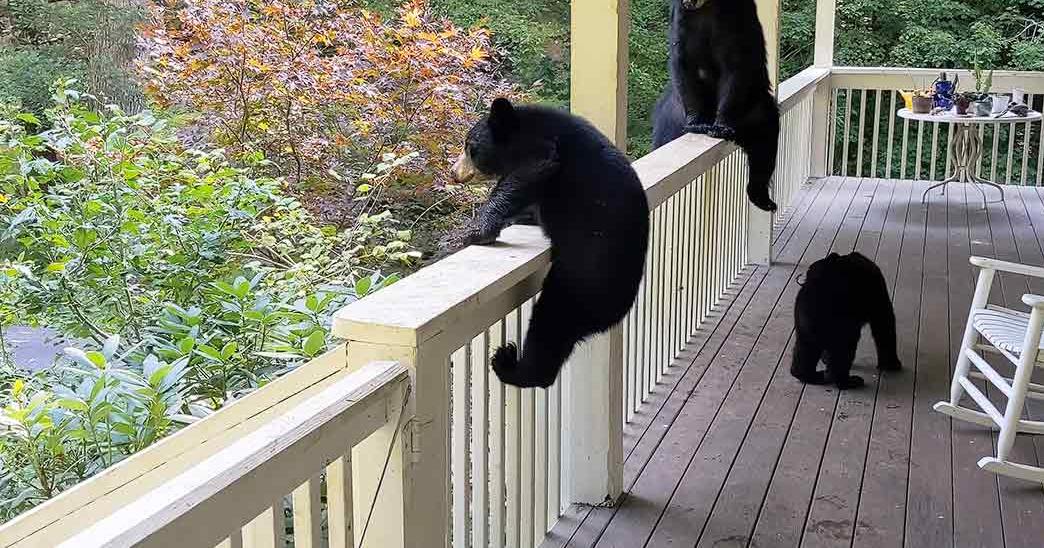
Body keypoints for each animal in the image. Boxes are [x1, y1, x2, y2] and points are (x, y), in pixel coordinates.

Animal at [451, 98, 650, 389]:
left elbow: (528, 172)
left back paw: (509, 364)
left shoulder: (545, 150)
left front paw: (474, 231)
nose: (453, 172)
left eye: (469, 147)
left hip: (578, 284)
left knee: (548, 326)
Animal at [652, 0, 780, 213]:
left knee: (765, 144)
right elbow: (684, 63)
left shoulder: (735, 20)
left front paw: (721, 126)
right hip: (671, 115)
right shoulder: (683, 20)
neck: (706, 7)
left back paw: (763, 198)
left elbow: (735, 69)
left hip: (755, 108)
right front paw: (697, 123)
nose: (689, 2)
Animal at [791, 252, 902, 390]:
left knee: (806, 347)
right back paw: (846, 381)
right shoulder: (877, 288)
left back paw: (808, 375)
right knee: (844, 349)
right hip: (840, 323)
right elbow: (884, 322)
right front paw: (891, 363)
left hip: (805, 319)